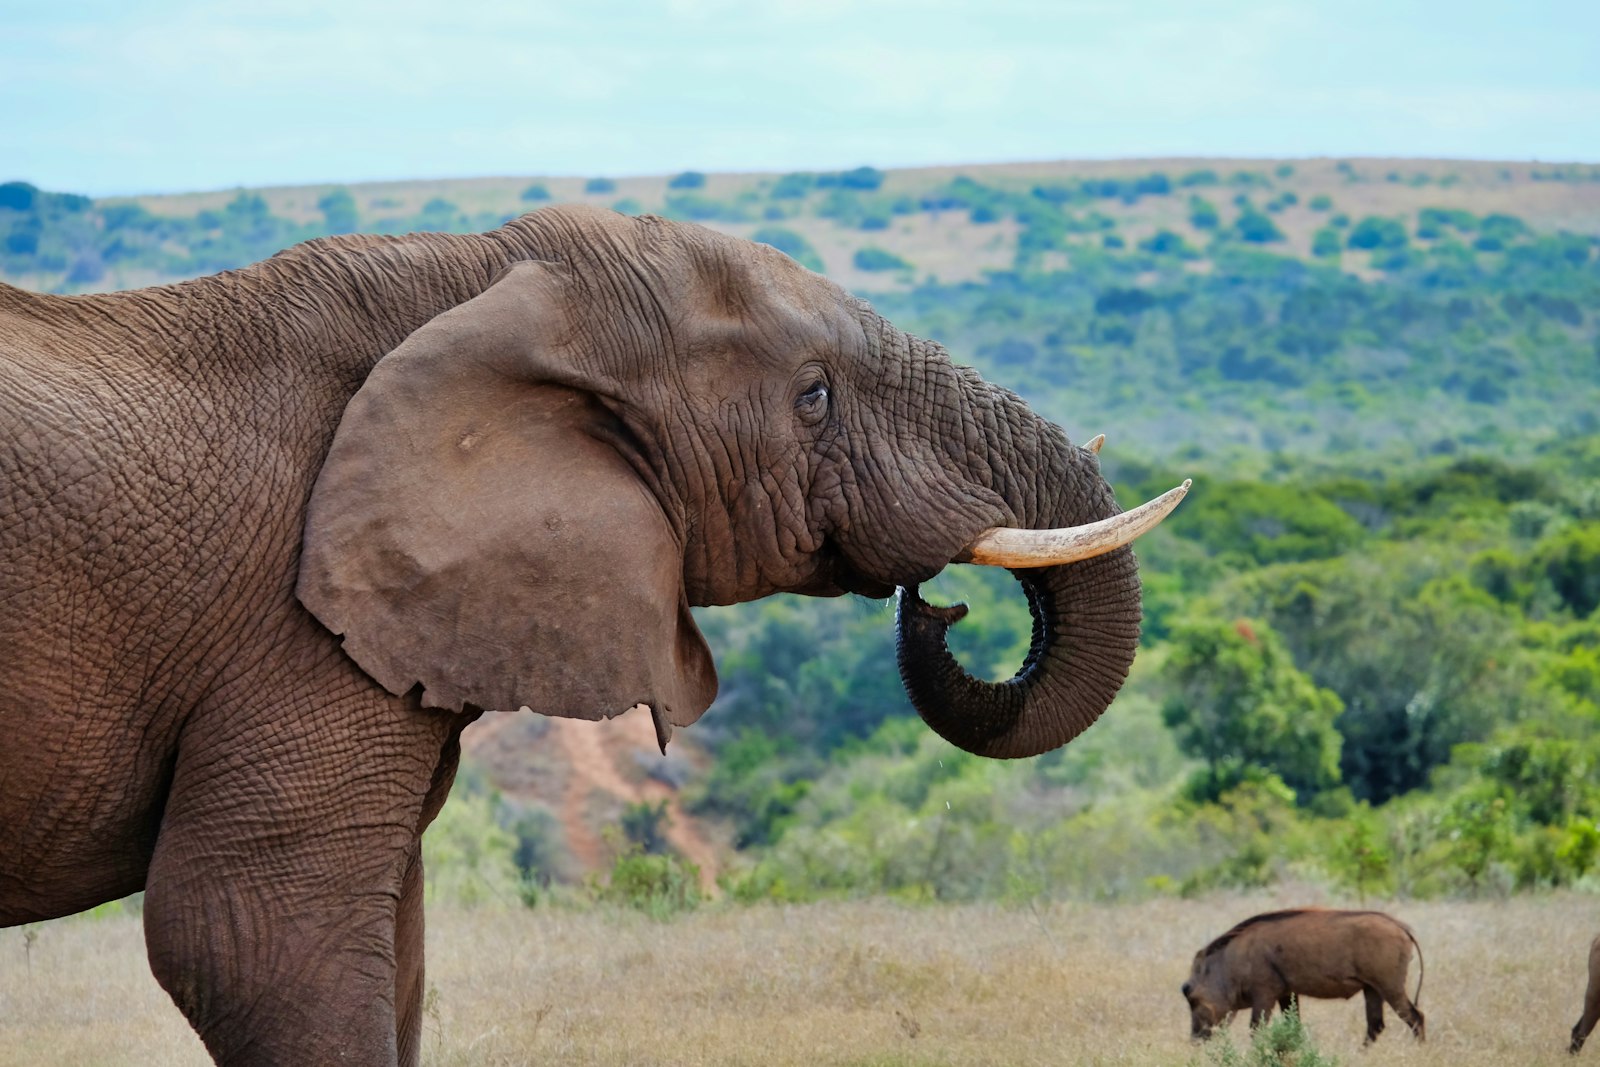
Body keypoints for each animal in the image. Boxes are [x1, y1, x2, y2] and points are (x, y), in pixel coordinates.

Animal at [3, 198, 1190, 1062]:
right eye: (812, 397)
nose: (937, 605)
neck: (481, 277)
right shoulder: (293, 627)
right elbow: (246, 936)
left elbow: (393, 953)